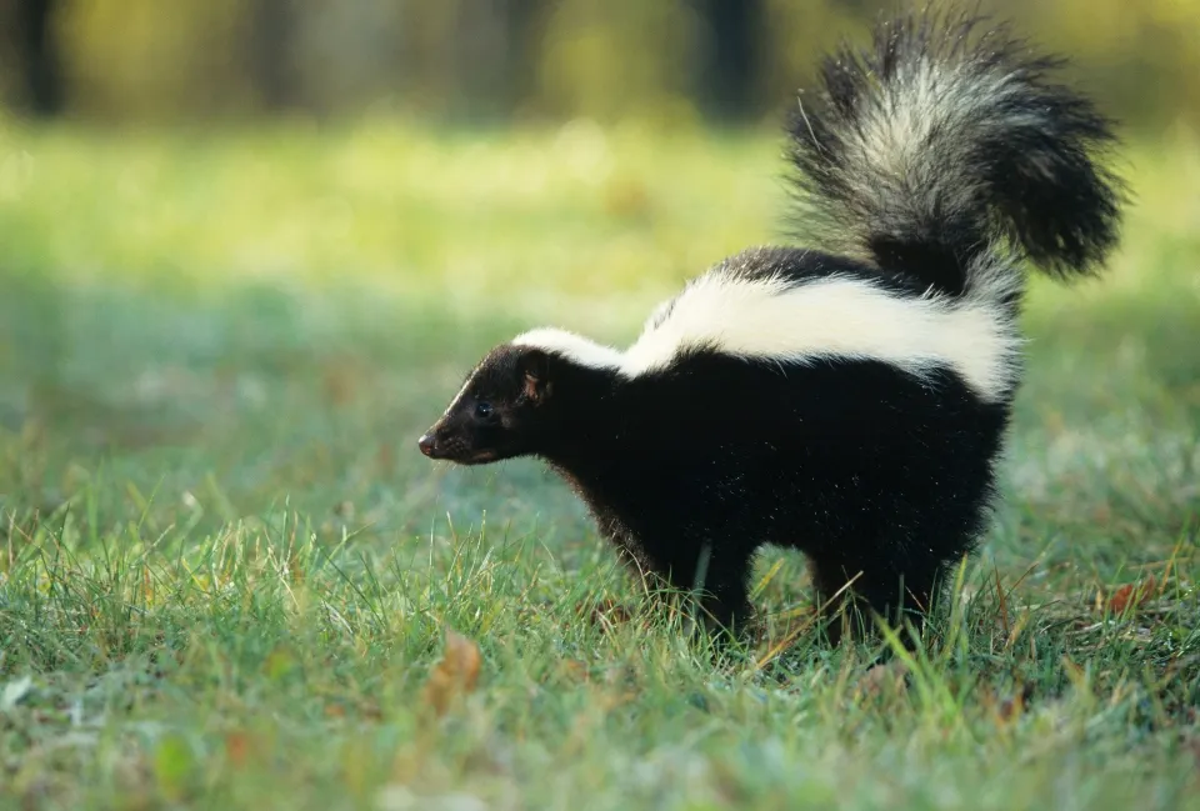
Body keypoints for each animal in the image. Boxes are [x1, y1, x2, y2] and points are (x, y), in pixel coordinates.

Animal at [417, 6, 1118, 638]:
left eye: (485, 408)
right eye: (464, 398)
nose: (429, 440)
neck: (625, 395)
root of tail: (944, 298)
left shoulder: (696, 470)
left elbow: (706, 560)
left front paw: (711, 635)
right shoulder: (633, 497)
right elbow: (656, 562)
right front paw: (668, 628)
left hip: (920, 451)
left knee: (906, 549)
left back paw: (886, 631)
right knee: (851, 555)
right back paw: (840, 626)